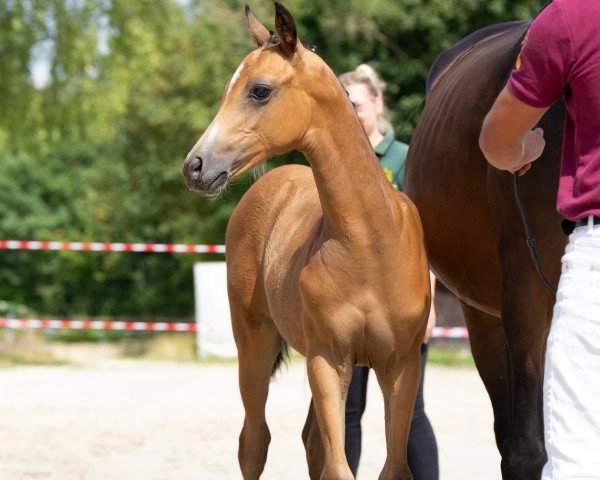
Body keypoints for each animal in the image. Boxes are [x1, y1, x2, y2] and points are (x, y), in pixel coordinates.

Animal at [183, 4, 432, 480]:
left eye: (260, 90)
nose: (195, 166)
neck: (370, 241)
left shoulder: (401, 366)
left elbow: (392, 466)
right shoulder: (326, 359)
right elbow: (338, 466)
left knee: (310, 443)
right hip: (255, 342)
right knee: (254, 441)